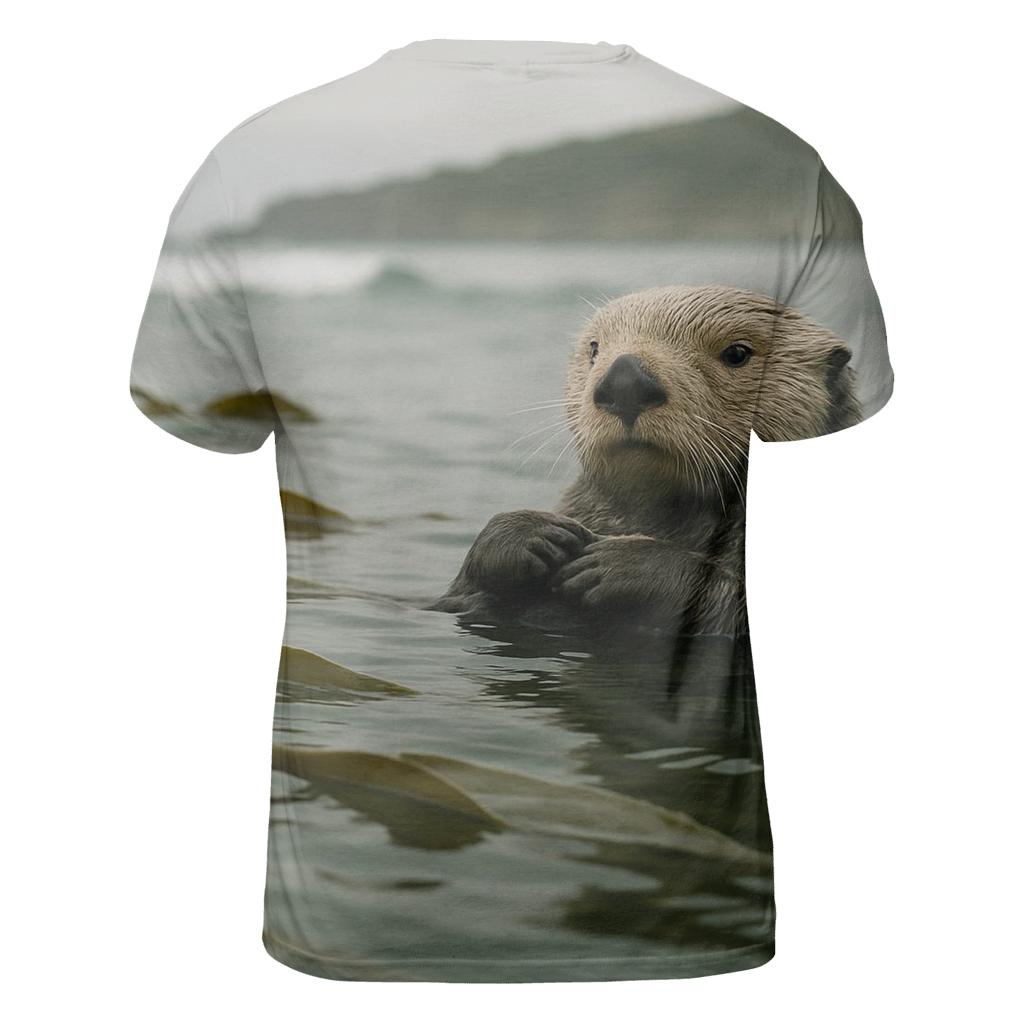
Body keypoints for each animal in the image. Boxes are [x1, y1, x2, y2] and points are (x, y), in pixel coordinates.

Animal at [433, 285, 861, 636]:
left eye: (737, 353)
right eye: (594, 348)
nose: (625, 380)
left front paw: (623, 564)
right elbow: (456, 599)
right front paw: (528, 533)